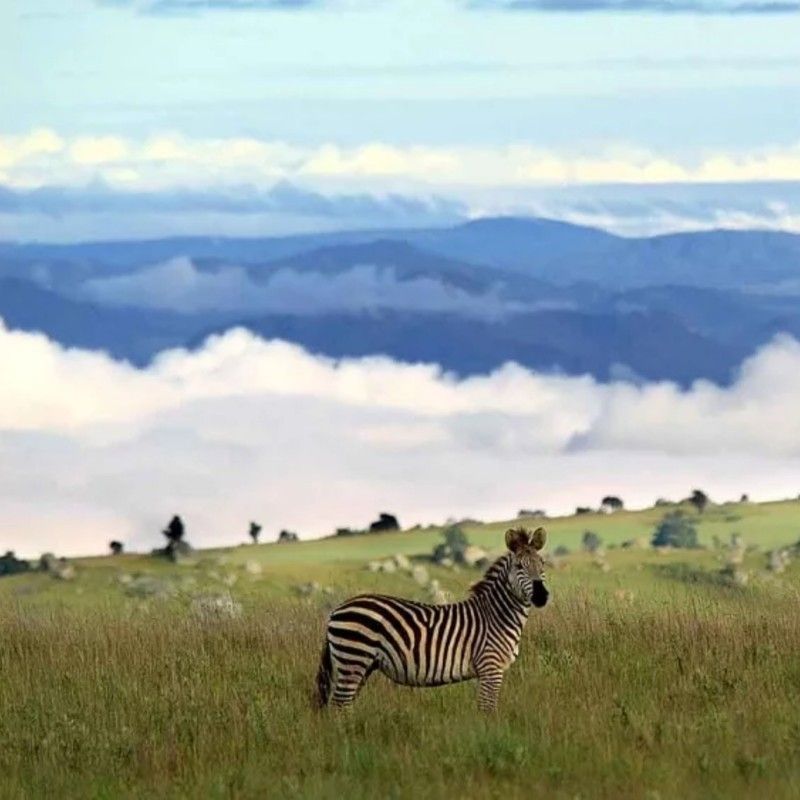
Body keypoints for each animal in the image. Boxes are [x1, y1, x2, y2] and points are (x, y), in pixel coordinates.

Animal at [315, 526, 549, 712]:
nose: (541, 596)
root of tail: (337, 609)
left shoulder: (487, 671)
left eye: (542, 564)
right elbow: (487, 710)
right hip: (353, 658)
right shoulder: (490, 667)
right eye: (519, 566)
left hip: (359, 664)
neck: (496, 614)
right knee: (338, 706)